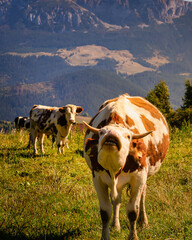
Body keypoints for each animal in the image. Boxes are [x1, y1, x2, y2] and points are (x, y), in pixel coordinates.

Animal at [83, 94, 169, 240]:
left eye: (128, 136)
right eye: (101, 132)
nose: (111, 135)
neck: (114, 167)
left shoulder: (139, 177)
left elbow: (132, 211)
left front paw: (133, 236)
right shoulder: (98, 178)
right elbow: (105, 212)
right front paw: (106, 235)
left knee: (142, 196)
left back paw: (143, 222)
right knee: (116, 200)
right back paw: (115, 225)